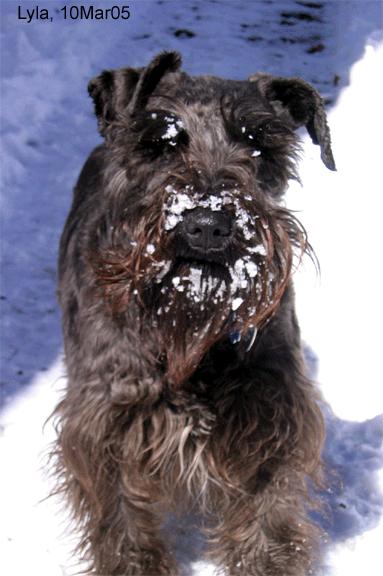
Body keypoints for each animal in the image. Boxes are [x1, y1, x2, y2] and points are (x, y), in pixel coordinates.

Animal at [53, 51, 336, 572]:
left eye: (258, 143)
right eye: (160, 143)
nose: (207, 225)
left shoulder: (271, 412)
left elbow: (266, 513)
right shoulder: (108, 422)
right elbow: (121, 517)